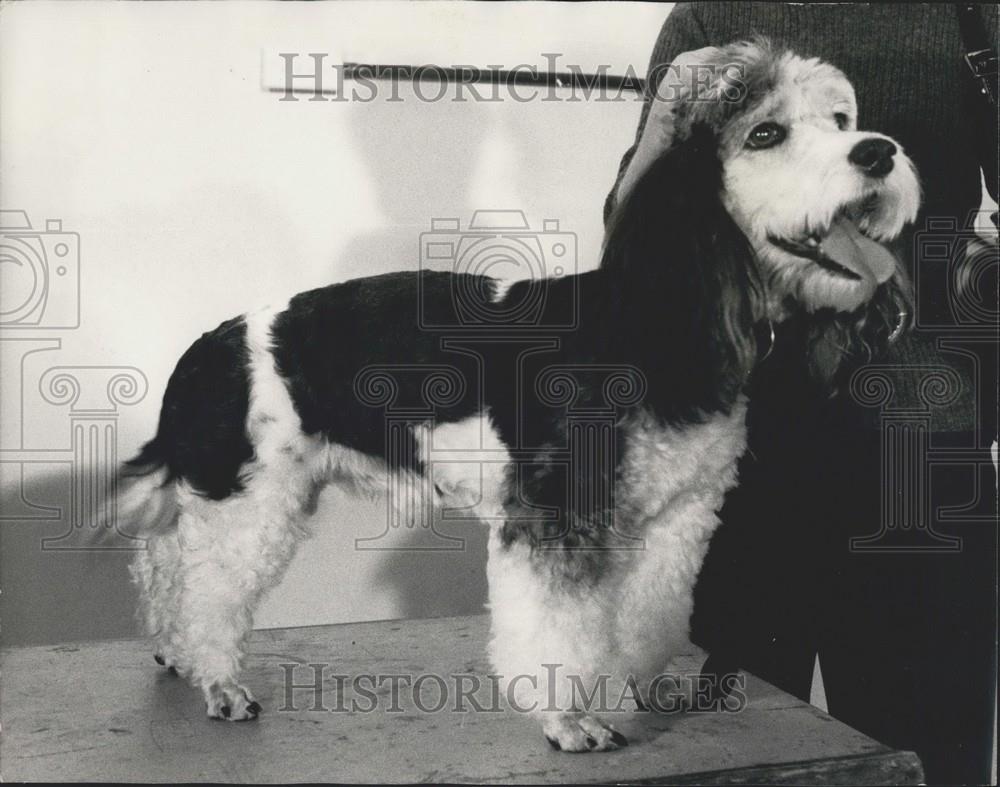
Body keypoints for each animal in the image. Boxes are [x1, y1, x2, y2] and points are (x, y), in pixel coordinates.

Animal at [113, 41, 916, 752]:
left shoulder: (674, 522)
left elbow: (640, 623)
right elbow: (557, 630)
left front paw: (622, 691)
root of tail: (211, 345)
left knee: (166, 559)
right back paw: (218, 680)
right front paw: (569, 720)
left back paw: (175, 652)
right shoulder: (556, 516)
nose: (878, 152)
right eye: (767, 133)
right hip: (251, 500)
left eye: (840, 119)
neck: (656, 326)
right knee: (206, 591)